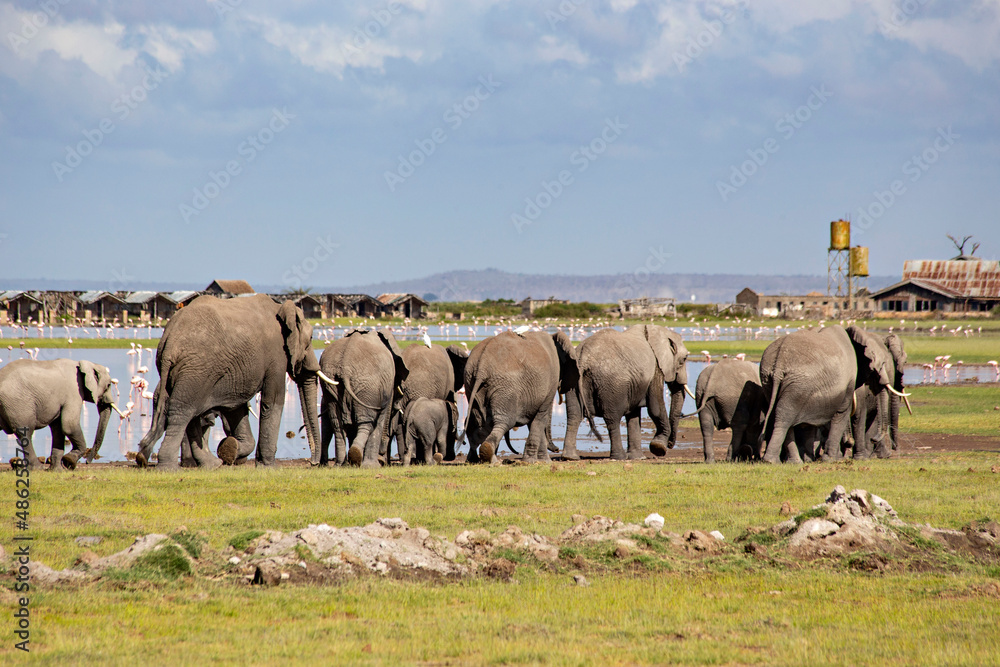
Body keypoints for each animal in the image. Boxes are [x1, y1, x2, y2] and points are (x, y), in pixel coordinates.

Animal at [136, 294, 320, 472]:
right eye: (311, 338)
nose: (313, 463)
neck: (281, 307)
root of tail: (169, 341)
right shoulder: (277, 354)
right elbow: (273, 401)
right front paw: (269, 467)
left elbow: (235, 408)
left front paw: (230, 449)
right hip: (196, 370)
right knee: (182, 412)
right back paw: (169, 468)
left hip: (184, 371)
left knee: (190, 413)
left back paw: (211, 464)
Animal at [314, 330, 404, 470]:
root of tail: (345, 365)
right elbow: (381, 418)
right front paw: (373, 466)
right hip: (368, 386)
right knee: (366, 422)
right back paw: (358, 458)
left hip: (331, 383)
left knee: (337, 423)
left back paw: (341, 464)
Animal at [462, 330, 580, 464]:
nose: (556, 450)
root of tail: (482, 365)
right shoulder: (551, 380)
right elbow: (540, 417)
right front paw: (532, 462)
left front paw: (543, 462)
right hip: (506, 386)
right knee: (504, 422)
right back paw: (492, 458)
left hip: (471, 383)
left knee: (483, 422)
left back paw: (489, 458)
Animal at [568, 324, 692, 462]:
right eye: (684, 359)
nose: (670, 444)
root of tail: (584, 357)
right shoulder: (656, 368)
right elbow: (655, 407)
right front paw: (658, 448)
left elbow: (634, 414)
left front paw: (638, 457)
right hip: (611, 384)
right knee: (613, 419)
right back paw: (619, 457)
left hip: (572, 378)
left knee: (574, 415)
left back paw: (570, 457)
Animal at [756, 324, 916, 464]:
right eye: (881, 364)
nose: (874, 439)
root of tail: (778, 362)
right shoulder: (850, 380)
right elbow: (846, 412)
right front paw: (834, 459)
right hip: (798, 386)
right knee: (784, 417)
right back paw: (773, 461)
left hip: (769, 380)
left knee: (782, 417)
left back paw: (790, 462)